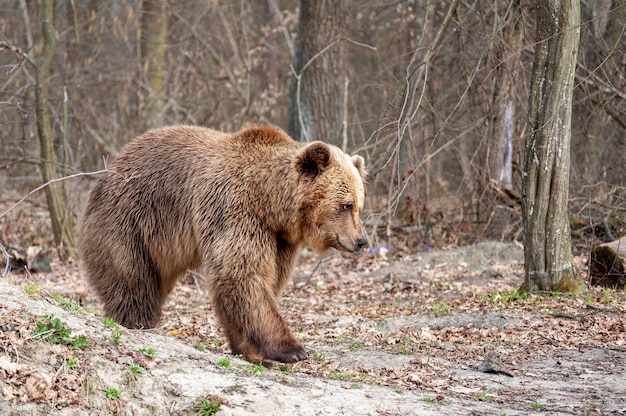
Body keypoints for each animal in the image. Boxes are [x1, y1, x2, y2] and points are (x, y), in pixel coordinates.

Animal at [80, 124, 368, 364]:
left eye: (359, 205)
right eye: (345, 205)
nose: (361, 241)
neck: (270, 202)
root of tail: (107, 172)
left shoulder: (279, 239)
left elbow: (262, 283)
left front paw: (249, 348)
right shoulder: (234, 210)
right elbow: (241, 274)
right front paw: (291, 349)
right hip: (129, 221)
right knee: (132, 279)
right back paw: (137, 321)